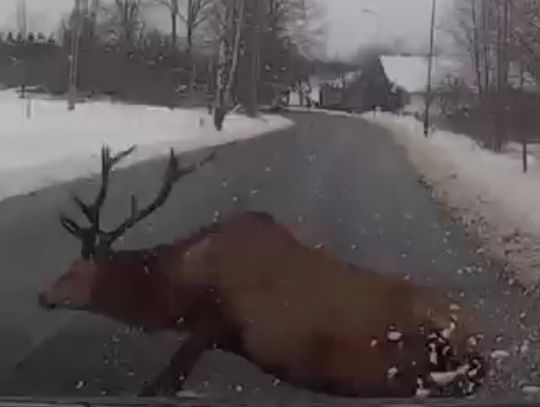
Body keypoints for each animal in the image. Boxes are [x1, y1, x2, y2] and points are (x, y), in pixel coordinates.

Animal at [37, 146, 486, 398]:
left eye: (74, 271)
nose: (42, 296)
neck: (177, 291)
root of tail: (476, 333)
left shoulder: (213, 324)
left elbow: (164, 382)